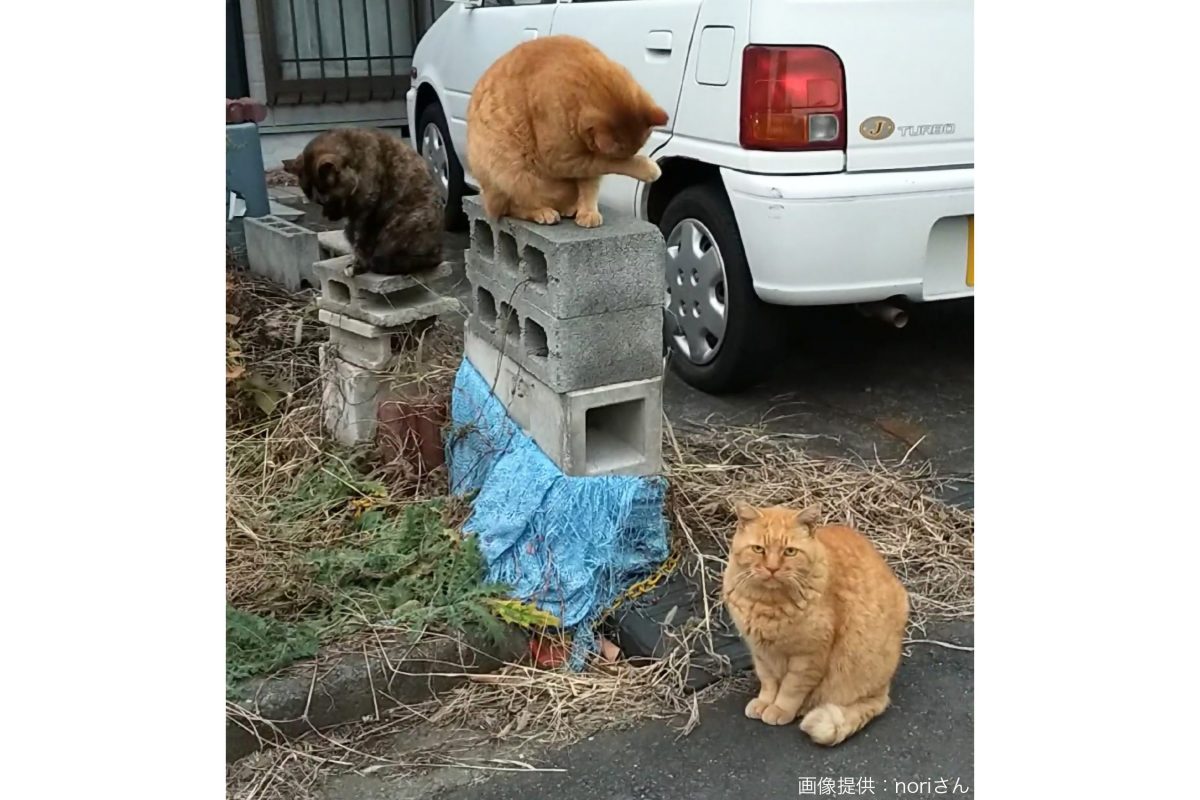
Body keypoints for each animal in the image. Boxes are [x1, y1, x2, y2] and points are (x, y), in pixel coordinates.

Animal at [465, 34, 667, 227]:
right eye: (621, 155)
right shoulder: (562, 160)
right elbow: (605, 163)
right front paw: (647, 167)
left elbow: (590, 185)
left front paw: (588, 212)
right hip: (509, 174)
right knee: (508, 208)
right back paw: (542, 211)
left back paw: (568, 207)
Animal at [720, 503, 907, 748]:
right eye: (759, 549)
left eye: (790, 552)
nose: (772, 568)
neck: (767, 604)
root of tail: (884, 690)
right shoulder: (761, 652)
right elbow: (768, 681)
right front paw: (764, 702)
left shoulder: (808, 656)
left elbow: (790, 688)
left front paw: (779, 709)